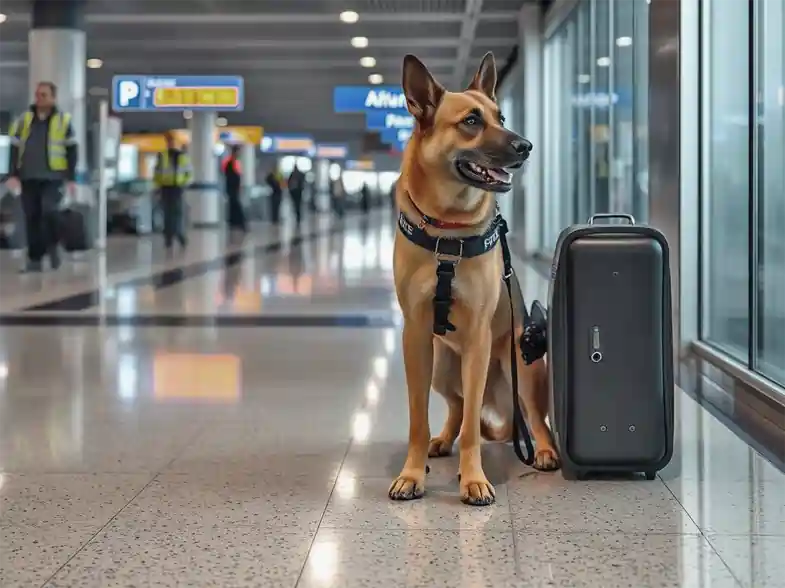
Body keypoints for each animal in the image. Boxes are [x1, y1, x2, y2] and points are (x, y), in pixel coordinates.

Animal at [386, 52, 556, 508]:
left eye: (502, 117)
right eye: (471, 121)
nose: (526, 146)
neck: (448, 228)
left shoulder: (479, 339)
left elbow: (473, 434)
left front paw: (473, 479)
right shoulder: (414, 337)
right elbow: (417, 420)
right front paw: (412, 474)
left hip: (521, 363)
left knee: (532, 417)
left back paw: (545, 451)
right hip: (442, 366)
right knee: (460, 408)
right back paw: (442, 440)